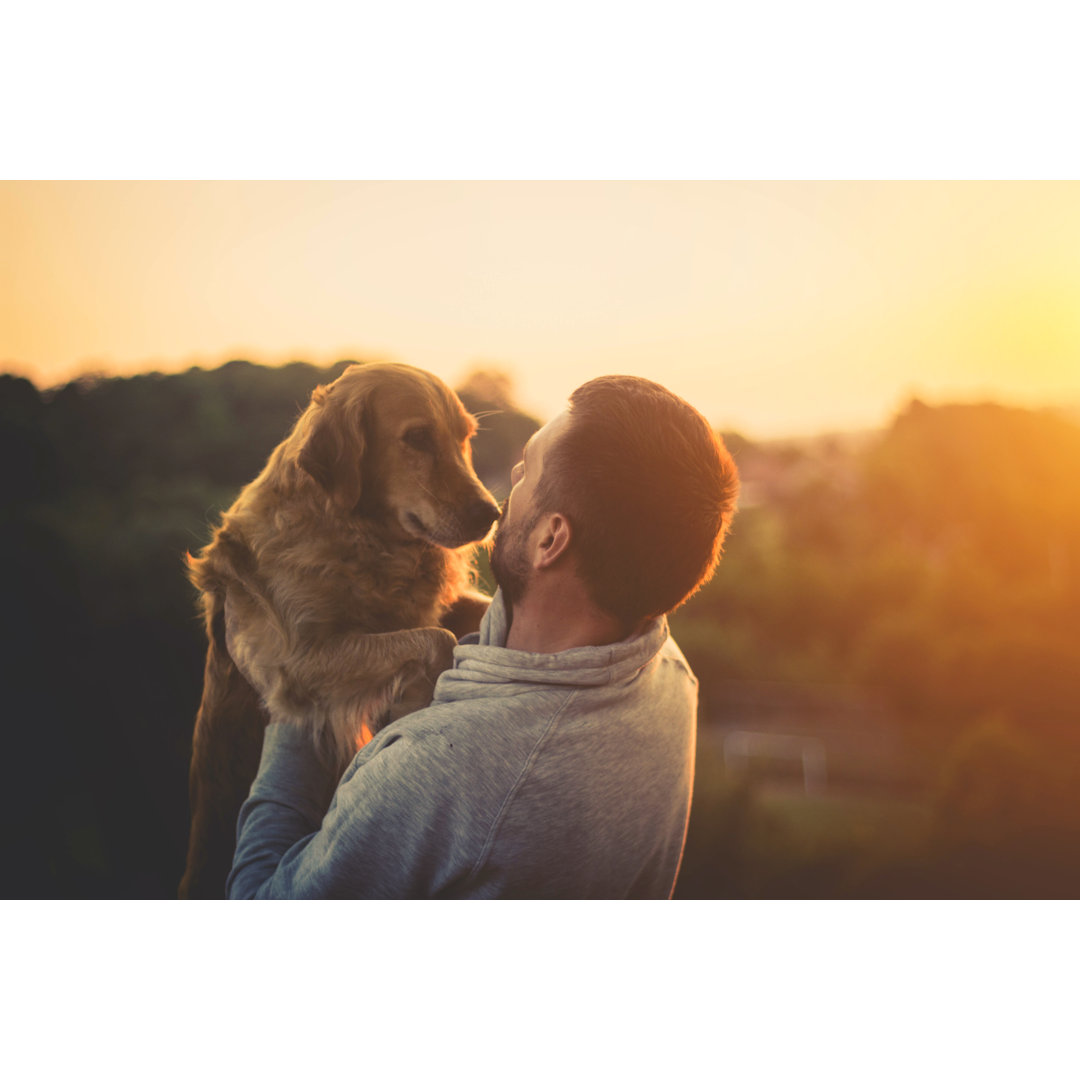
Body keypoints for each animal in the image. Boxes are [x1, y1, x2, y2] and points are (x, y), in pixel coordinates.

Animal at [177, 365, 496, 902]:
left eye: (464, 439)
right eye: (417, 438)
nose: (491, 514)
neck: (354, 534)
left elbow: (466, 613)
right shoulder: (296, 664)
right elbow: (436, 639)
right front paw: (409, 703)